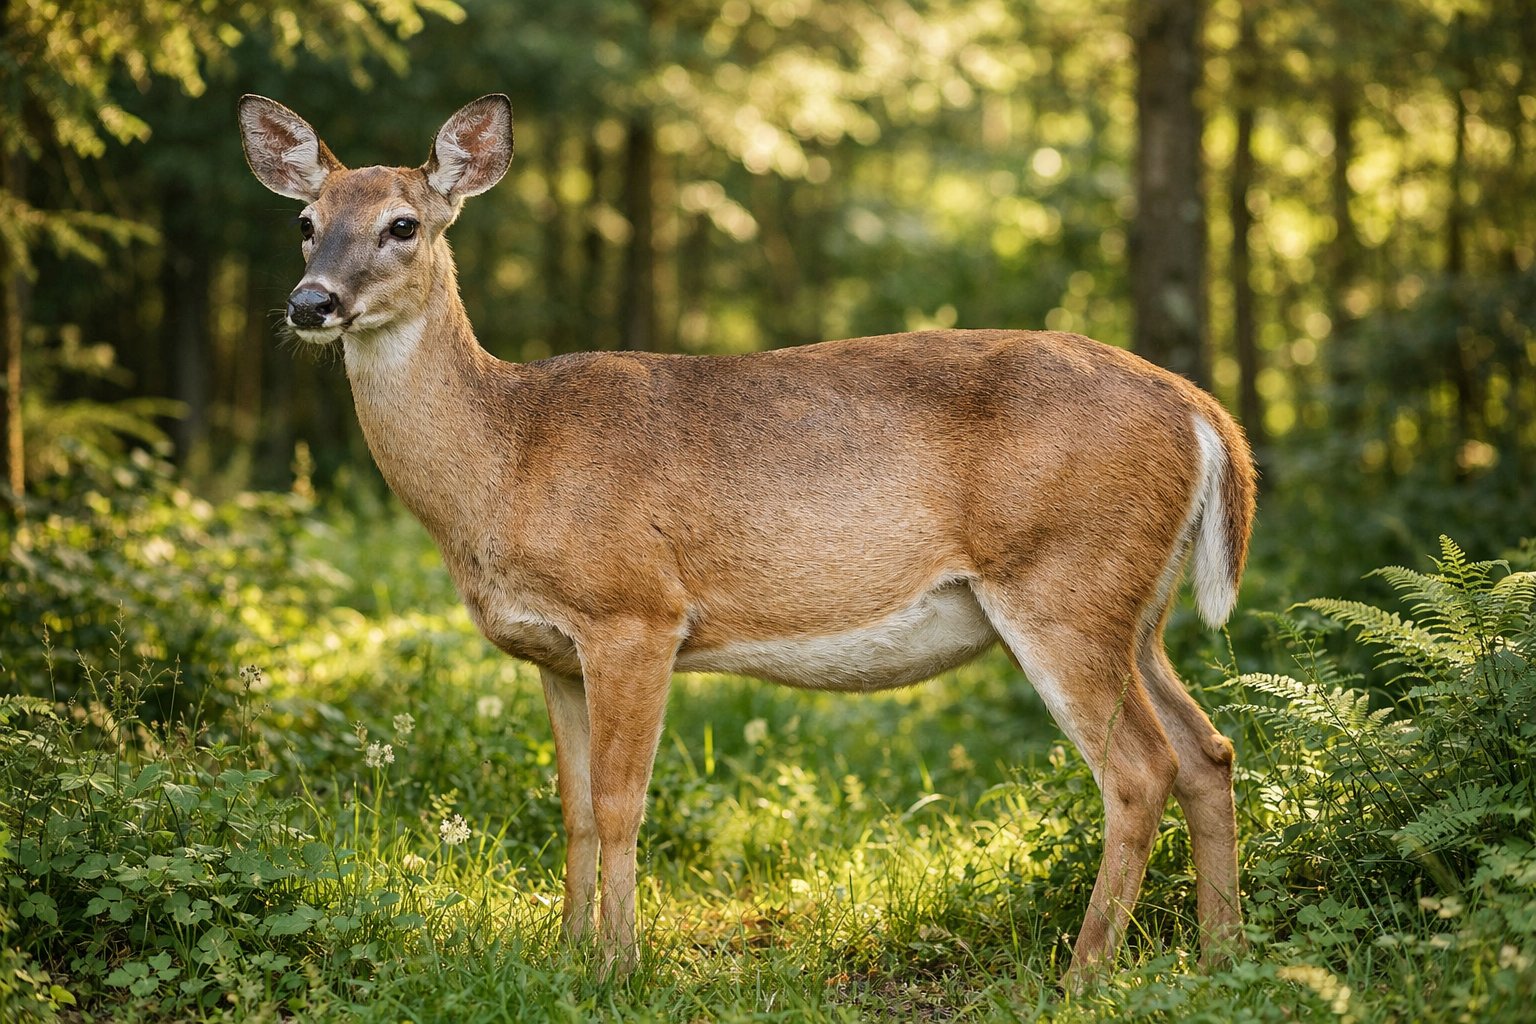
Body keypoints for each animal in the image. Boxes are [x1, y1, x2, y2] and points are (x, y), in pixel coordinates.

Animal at [238, 93, 1255, 988]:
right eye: (305, 221)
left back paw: (1082, 976)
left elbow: (620, 804)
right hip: (1134, 608)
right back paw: (1220, 957)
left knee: (1141, 770)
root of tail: (1201, 413)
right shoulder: (553, 652)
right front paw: (561, 957)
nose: (310, 303)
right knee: (1208, 750)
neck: (508, 458)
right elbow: (572, 809)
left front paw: (617, 969)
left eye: (403, 225)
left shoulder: (635, 611)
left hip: (1062, 583)